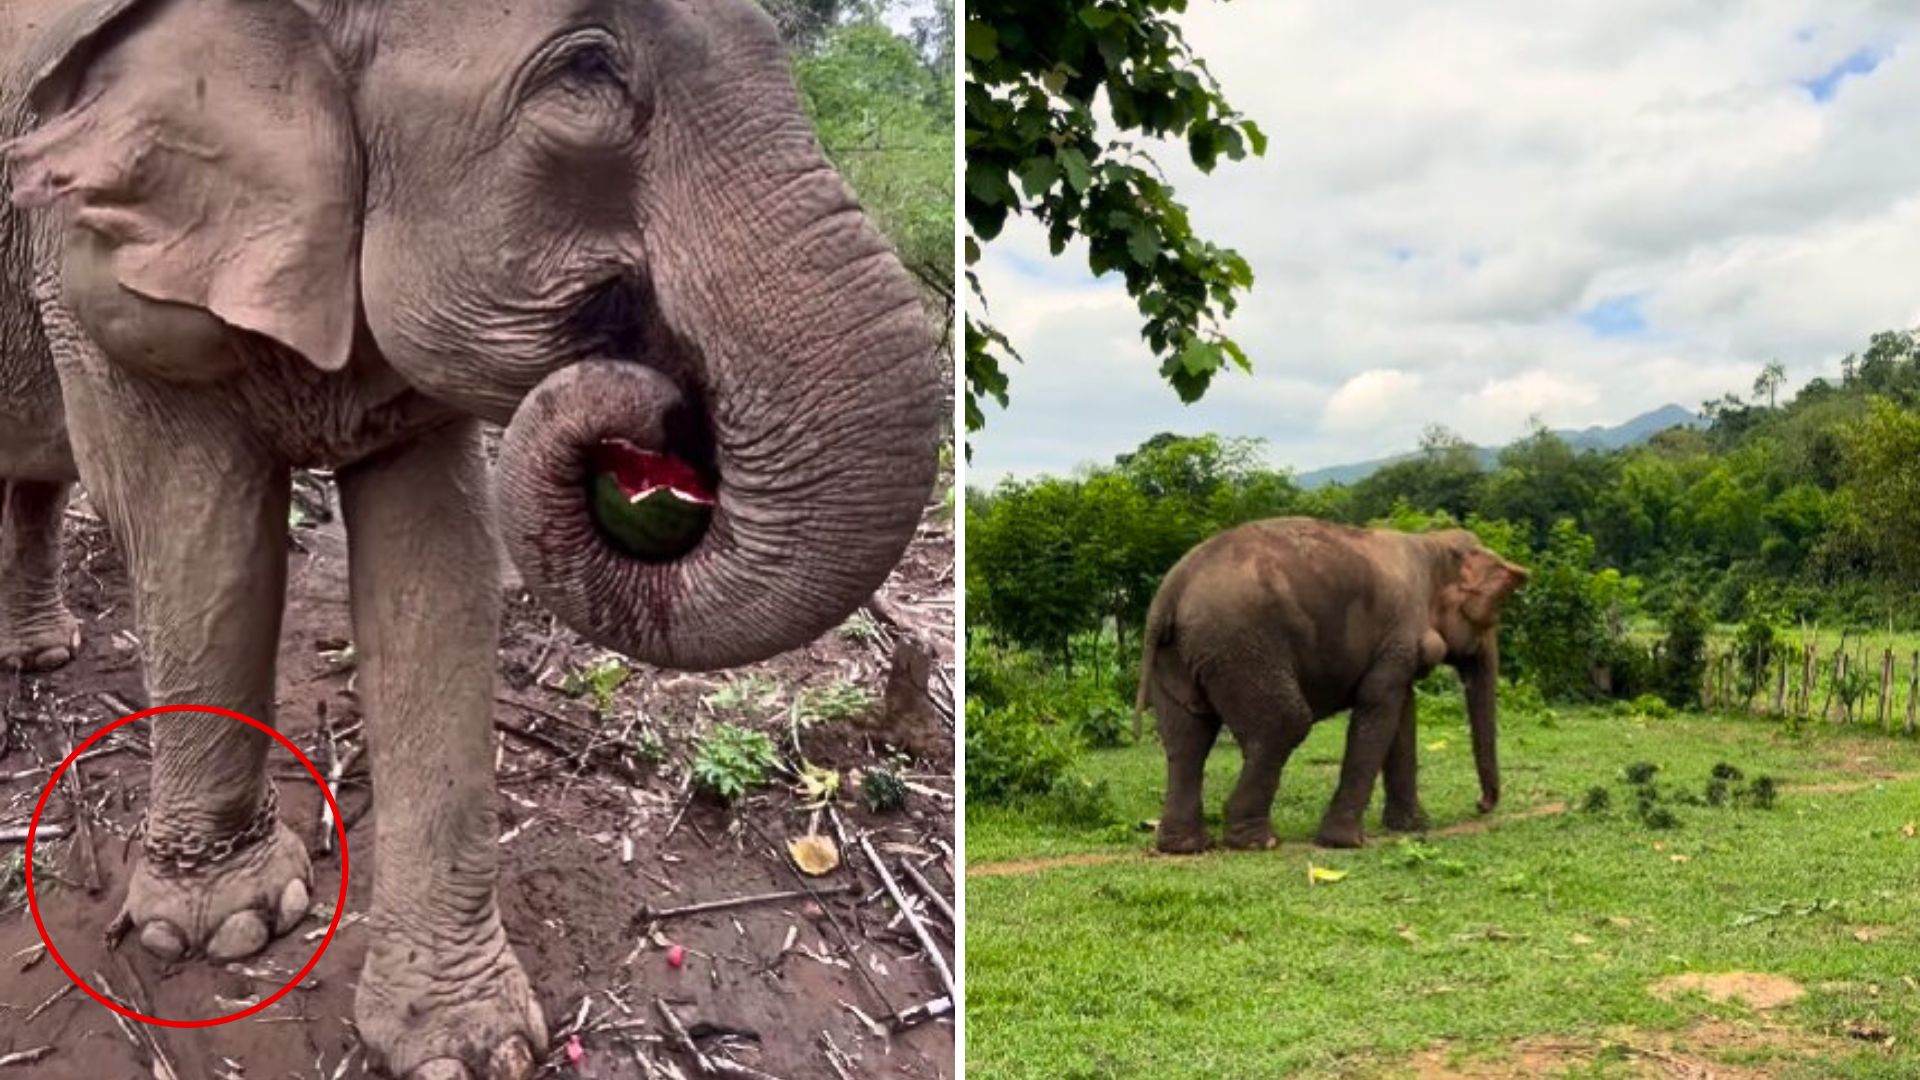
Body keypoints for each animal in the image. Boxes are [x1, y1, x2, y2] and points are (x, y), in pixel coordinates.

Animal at [0, 4, 936, 1068]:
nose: (665, 411)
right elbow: (206, 536)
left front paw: (465, 1046)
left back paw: (40, 655)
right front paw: (222, 928)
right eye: (587, 69)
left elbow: (437, 574)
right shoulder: (90, 260)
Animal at [1136, 518, 1528, 853]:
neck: (1431, 544)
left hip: (1180, 656)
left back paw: (1184, 846)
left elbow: (1402, 715)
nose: (1481, 805)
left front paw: (1414, 827)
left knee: (1187, 739)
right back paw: (1257, 842)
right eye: (1489, 615)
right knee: (1285, 725)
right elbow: (1379, 708)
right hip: (1241, 648)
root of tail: (1171, 592)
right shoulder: (1400, 633)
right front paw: (1345, 842)